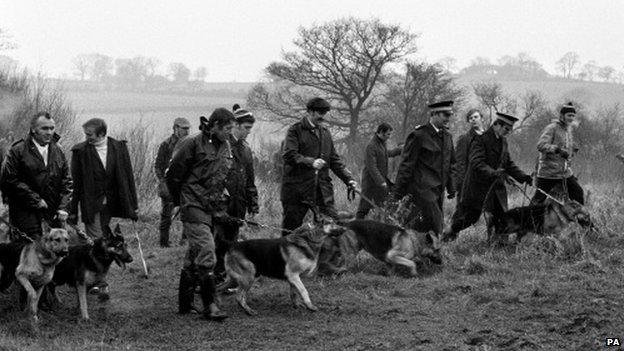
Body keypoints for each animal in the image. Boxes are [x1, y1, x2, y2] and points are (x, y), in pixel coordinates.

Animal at [218, 224, 346, 318]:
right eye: (332, 222)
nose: (345, 228)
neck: (308, 238)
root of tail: (232, 244)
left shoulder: (294, 278)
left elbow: (294, 293)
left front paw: (297, 305)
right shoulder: (294, 276)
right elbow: (304, 291)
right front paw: (310, 306)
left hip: (234, 280)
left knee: (219, 288)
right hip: (248, 278)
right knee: (239, 296)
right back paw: (248, 311)